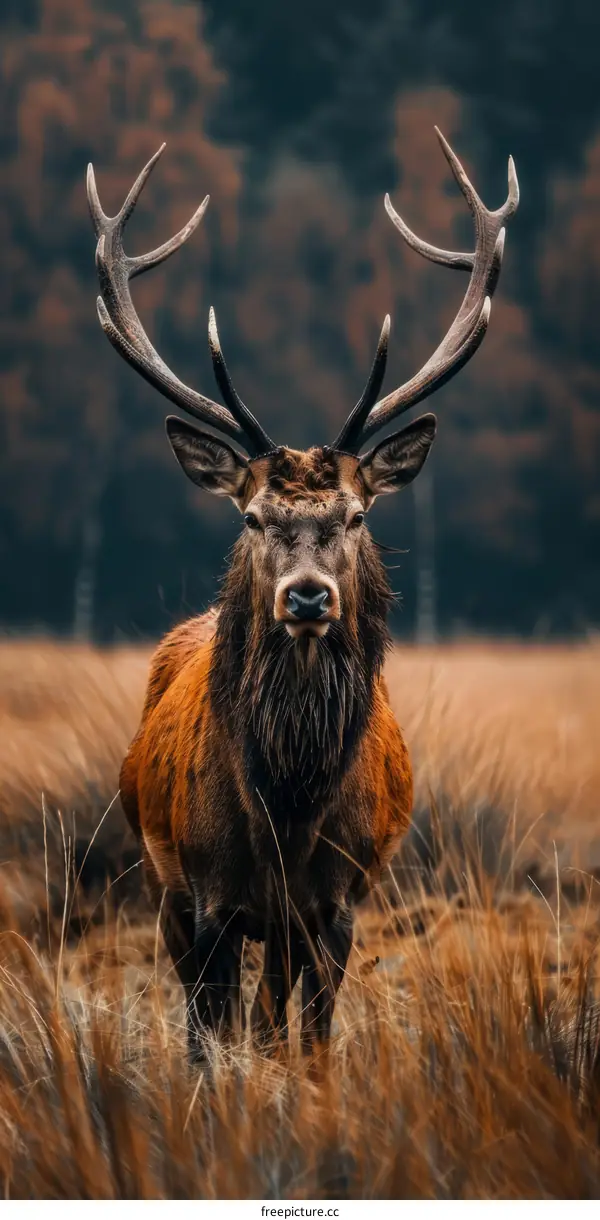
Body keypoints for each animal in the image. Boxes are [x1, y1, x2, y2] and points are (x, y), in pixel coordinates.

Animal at [87, 128, 518, 1061]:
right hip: (162, 882)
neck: (286, 814)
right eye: (252, 516)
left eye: (356, 514)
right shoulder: (208, 897)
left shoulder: (338, 903)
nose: (309, 599)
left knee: (271, 1015)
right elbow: (209, 1041)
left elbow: (310, 1043)